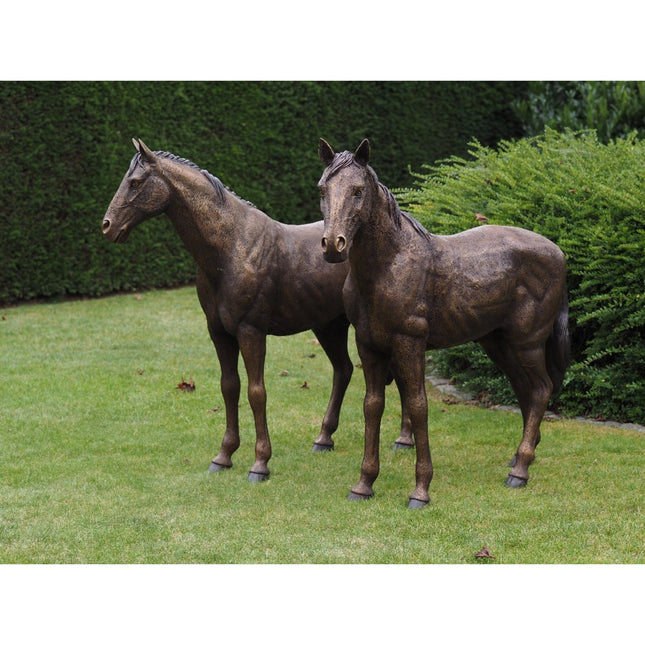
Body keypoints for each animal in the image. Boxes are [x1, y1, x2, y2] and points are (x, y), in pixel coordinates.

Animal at [103, 139, 364, 482]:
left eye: (135, 182)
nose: (107, 226)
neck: (230, 249)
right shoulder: (219, 332)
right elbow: (230, 387)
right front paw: (224, 456)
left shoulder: (250, 331)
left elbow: (256, 392)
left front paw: (260, 463)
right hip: (327, 325)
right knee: (343, 370)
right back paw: (323, 439)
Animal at [318, 138, 570, 508]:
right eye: (322, 189)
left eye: (358, 190)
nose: (333, 245)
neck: (388, 265)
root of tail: (558, 253)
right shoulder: (369, 345)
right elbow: (372, 406)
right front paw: (364, 483)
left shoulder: (409, 343)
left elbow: (418, 406)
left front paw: (421, 489)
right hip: (498, 343)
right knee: (526, 390)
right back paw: (520, 458)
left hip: (527, 343)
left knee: (540, 390)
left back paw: (520, 471)